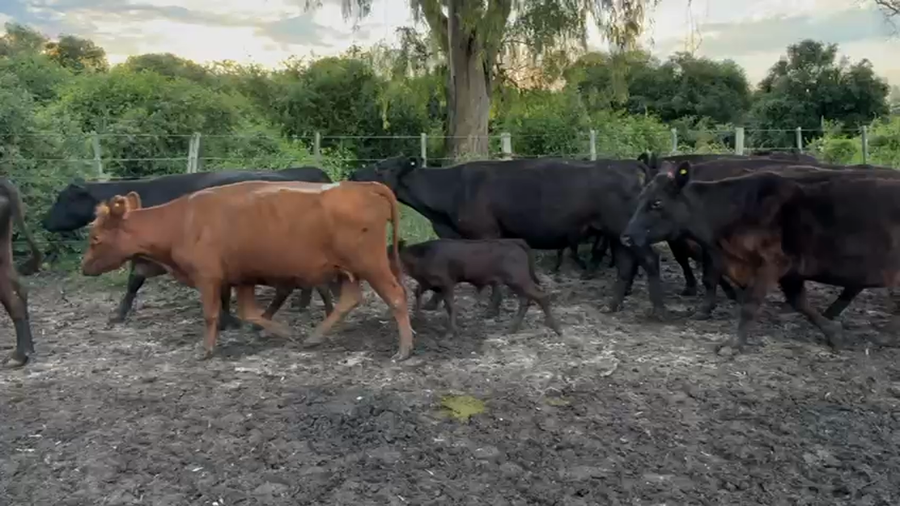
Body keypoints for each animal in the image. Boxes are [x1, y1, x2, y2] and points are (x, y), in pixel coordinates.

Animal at [80, 180, 415, 361]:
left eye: (95, 238)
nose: (83, 267)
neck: (183, 221)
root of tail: (362, 186)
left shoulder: (208, 278)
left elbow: (211, 314)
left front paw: (206, 349)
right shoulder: (242, 278)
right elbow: (249, 313)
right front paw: (286, 332)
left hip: (371, 264)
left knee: (396, 296)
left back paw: (405, 348)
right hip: (347, 270)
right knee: (350, 300)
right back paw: (314, 336)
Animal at [350, 156, 699, 318]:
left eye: (380, 168)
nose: (353, 175)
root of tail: (631, 165)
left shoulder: (487, 234)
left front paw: (491, 309)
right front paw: (437, 302)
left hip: (628, 231)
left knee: (650, 260)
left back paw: (657, 309)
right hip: (616, 235)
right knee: (627, 265)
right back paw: (612, 305)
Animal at [398, 238, 562, 336]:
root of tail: (516, 242)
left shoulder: (447, 283)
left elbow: (450, 306)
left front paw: (453, 330)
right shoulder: (430, 284)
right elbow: (417, 292)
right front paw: (418, 317)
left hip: (518, 279)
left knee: (541, 296)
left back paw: (555, 327)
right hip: (518, 282)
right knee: (526, 299)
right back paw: (512, 328)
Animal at [622, 161, 900, 353]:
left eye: (657, 203)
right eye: (640, 198)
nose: (626, 237)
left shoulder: (770, 263)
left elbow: (751, 304)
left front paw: (733, 345)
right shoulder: (790, 271)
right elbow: (801, 303)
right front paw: (834, 334)